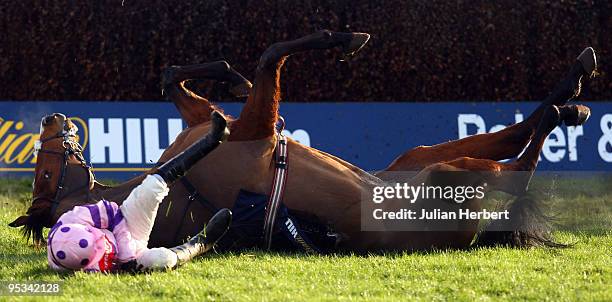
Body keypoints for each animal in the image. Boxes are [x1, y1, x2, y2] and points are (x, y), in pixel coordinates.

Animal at [10, 30, 596, 252]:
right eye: (42, 171)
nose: (51, 119)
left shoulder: (228, 121)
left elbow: (177, 77)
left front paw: (231, 77)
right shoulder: (255, 130)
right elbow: (272, 55)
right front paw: (345, 38)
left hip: (415, 161)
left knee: (510, 138)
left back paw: (571, 94)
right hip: (445, 179)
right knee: (517, 168)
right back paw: (564, 107)